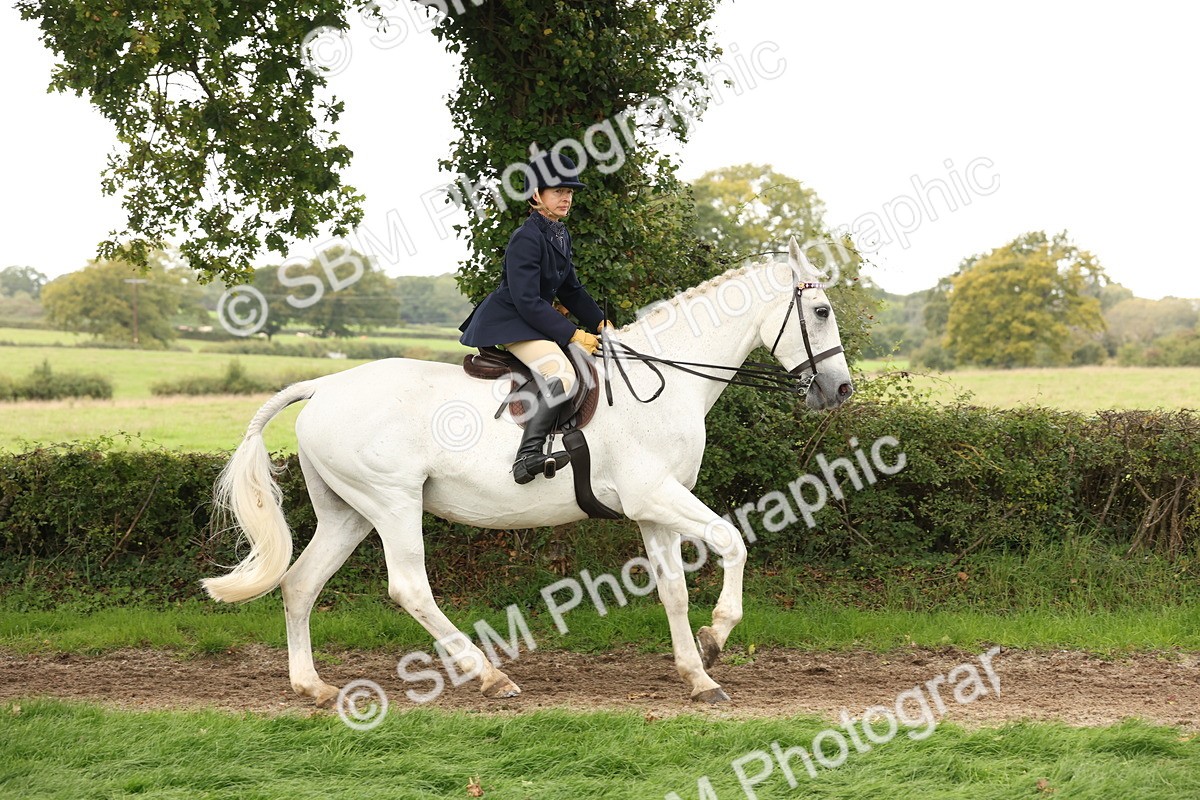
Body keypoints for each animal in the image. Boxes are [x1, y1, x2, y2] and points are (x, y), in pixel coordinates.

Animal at [203, 237, 854, 705]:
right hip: (392, 503)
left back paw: (312, 687)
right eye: (821, 311)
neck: (667, 380)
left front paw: (698, 675)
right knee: (409, 586)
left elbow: (672, 588)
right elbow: (732, 541)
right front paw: (716, 639)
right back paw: (491, 677)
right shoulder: (654, 494)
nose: (840, 390)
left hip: (348, 512)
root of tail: (323, 386)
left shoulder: (654, 507)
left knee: (300, 584)